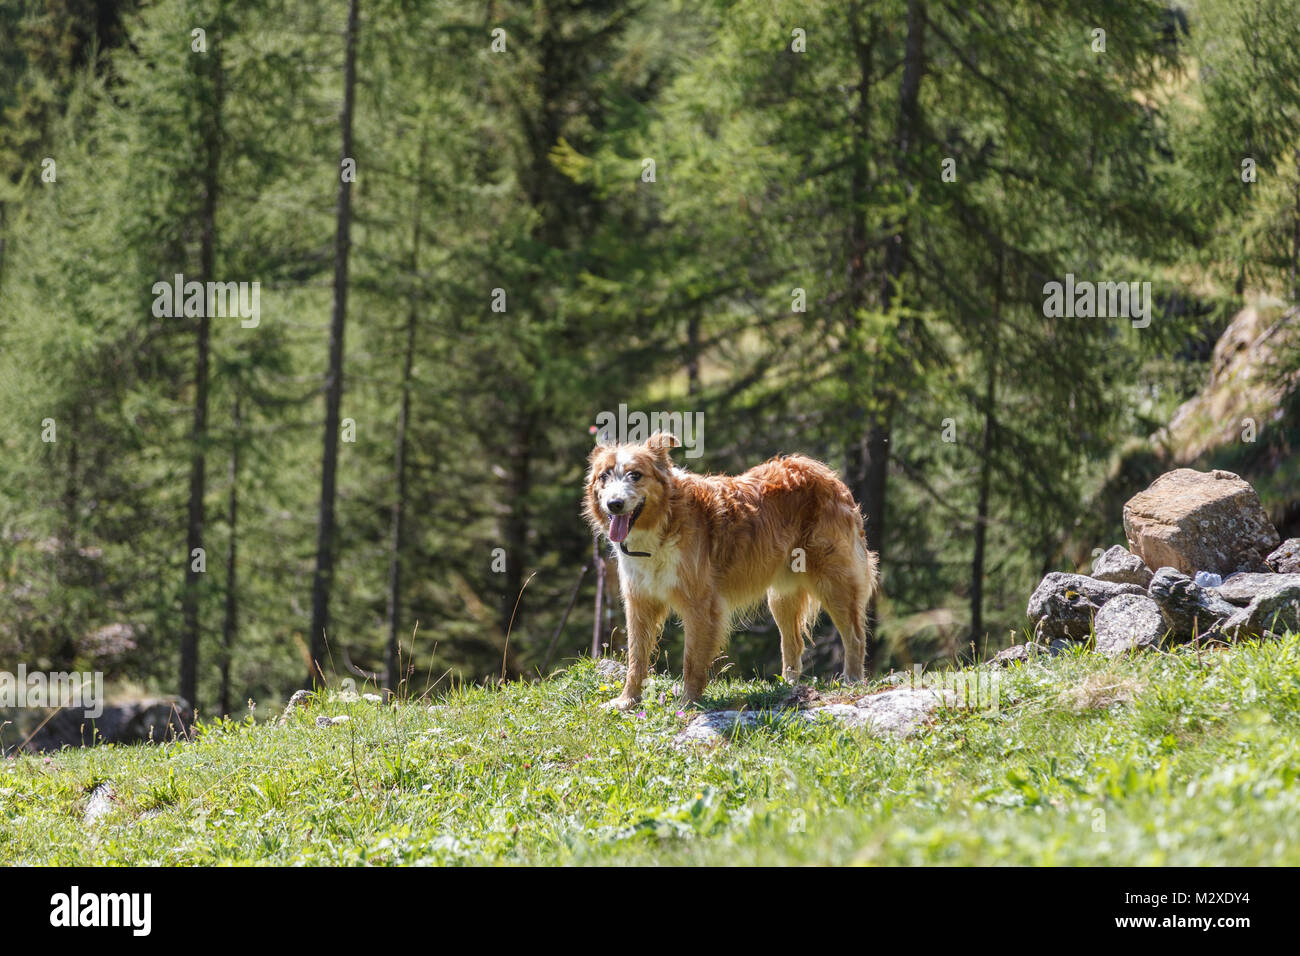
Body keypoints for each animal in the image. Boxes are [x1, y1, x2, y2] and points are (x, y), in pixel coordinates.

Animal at [585, 434, 878, 712]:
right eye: (604, 476)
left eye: (635, 475)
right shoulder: (639, 603)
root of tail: (822, 470)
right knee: (793, 642)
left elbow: (692, 660)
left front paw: (688, 703)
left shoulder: (700, 605)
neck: (663, 521)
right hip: (781, 595)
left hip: (832, 582)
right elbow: (636, 658)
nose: (614, 504)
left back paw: (852, 680)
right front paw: (627, 701)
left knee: (855, 636)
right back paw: (788, 687)